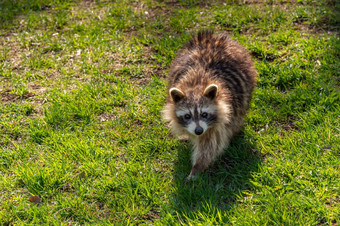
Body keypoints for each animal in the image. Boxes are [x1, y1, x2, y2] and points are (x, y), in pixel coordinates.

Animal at [163, 31, 256, 180]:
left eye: (204, 114)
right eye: (187, 116)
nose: (198, 131)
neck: (196, 85)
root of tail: (215, 36)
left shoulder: (221, 119)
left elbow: (210, 146)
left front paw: (197, 168)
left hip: (246, 86)